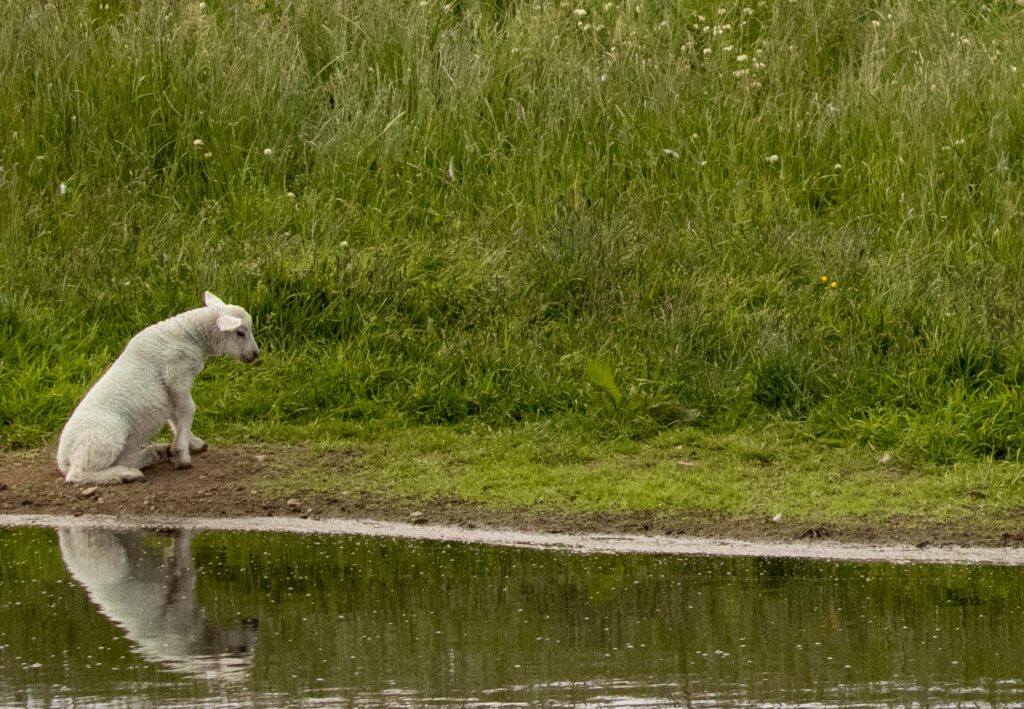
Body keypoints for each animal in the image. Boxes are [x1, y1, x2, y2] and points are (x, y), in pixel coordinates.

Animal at [56, 291, 260, 485]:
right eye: (240, 333)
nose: (256, 354)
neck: (190, 336)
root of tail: (63, 459)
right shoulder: (176, 374)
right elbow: (188, 409)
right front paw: (183, 454)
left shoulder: (170, 390)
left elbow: (176, 416)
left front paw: (192, 443)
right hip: (102, 439)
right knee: (79, 474)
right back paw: (127, 474)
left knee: (119, 460)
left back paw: (153, 454)